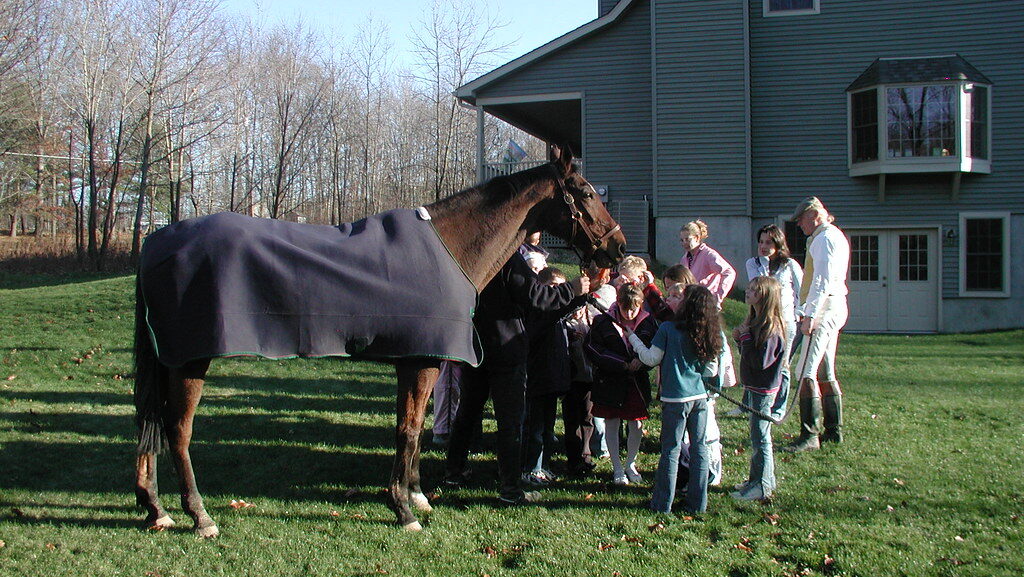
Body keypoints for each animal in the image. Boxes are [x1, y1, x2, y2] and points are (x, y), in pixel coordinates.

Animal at [132, 145, 626, 536]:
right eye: (585, 193)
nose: (618, 248)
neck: (451, 247)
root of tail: (156, 241)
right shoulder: (418, 362)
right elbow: (407, 430)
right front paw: (403, 509)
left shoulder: (425, 361)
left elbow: (415, 428)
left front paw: (418, 496)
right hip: (189, 361)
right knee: (177, 430)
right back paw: (199, 516)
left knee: (149, 424)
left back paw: (156, 509)